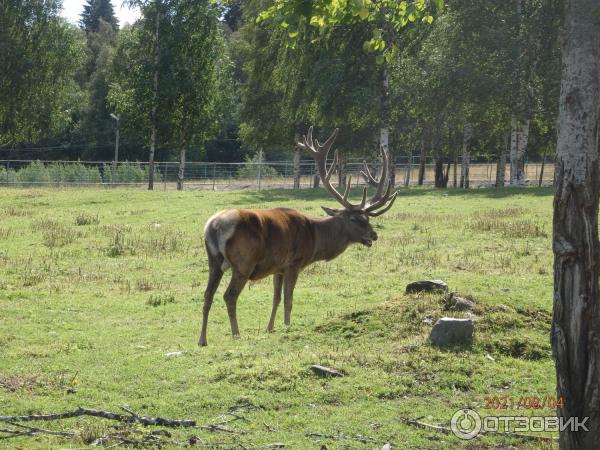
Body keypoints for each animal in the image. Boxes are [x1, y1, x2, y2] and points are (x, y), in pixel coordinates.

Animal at [199, 128, 398, 346]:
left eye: (367, 217)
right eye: (355, 218)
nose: (374, 235)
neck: (314, 238)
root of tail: (213, 226)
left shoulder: (278, 267)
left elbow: (276, 298)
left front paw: (270, 328)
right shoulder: (294, 263)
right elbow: (288, 299)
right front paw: (287, 327)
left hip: (213, 260)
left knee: (207, 294)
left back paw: (202, 339)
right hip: (244, 263)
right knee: (229, 296)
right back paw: (236, 334)